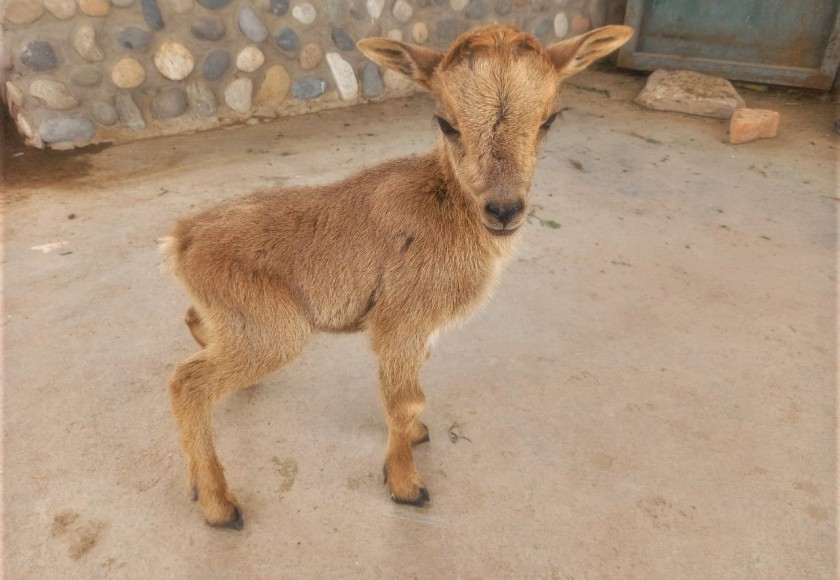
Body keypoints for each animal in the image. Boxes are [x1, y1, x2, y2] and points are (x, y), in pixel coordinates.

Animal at [162, 24, 632, 528]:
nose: (504, 210)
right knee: (187, 383)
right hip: (276, 331)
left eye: (550, 118)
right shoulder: (400, 322)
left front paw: (416, 434)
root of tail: (181, 238)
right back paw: (218, 504)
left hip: (239, 318)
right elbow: (405, 398)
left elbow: (409, 395)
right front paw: (407, 484)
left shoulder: (417, 330)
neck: (444, 207)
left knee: (194, 324)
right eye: (446, 122)